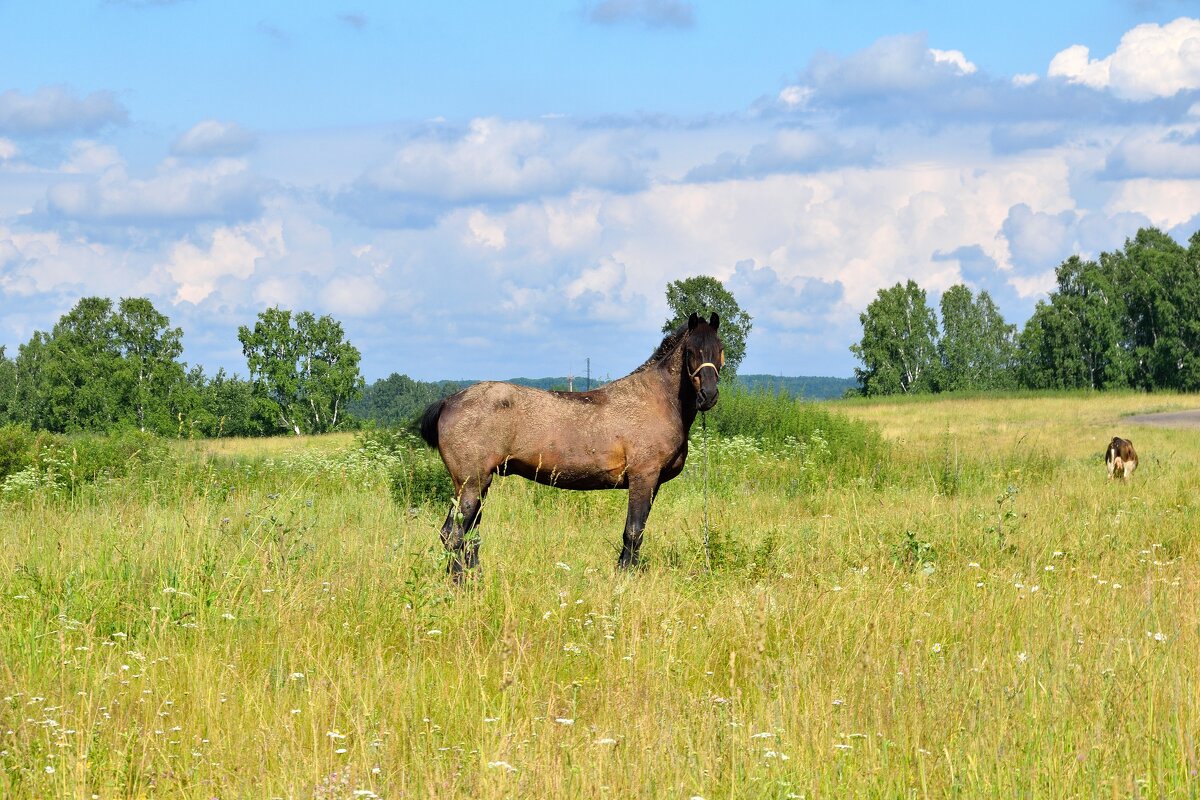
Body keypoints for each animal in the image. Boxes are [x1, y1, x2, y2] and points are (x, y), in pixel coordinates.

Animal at [417, 309, 724, 578]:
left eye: (719, 349)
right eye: (691, 351)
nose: (708, 395)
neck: (657, 399)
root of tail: (449, 401)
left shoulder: (654, 483)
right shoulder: (643, 477)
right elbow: (633, 530)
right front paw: (626, 576)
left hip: (477, 485)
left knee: (464, 534)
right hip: (471, 483)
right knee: (455, 534)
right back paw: (459, 581)